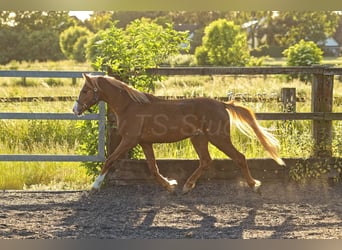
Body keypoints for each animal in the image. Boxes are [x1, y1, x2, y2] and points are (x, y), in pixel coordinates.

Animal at [73, 73, 284, 194]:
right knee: (206, 161)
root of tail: (222, 104)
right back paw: (187, 186)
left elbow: (110, 160)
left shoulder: (129, 140)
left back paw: (253, 184)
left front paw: (94, 187)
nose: (75, 109)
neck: (130, 106)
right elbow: (153, 168)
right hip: (199, 139)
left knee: (239, 157)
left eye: (85, 90)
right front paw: (170, 185)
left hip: (219, 138)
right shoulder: (144, 142)